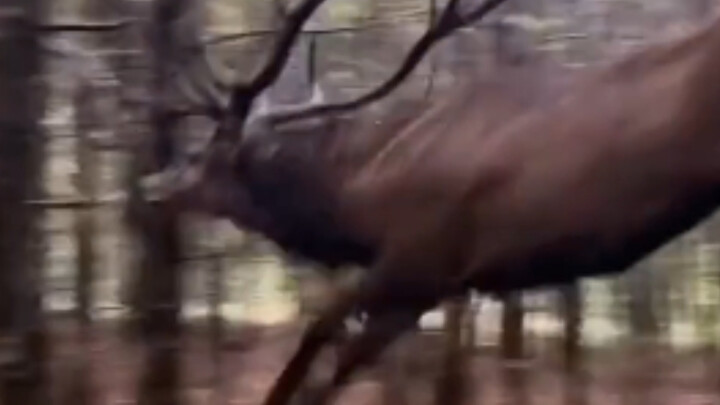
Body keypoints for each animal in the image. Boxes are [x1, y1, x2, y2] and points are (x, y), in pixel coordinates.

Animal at [139, 0, 720, 403]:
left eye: (203, 155)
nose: (149, 186)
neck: (359, 200)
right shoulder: (430, 289)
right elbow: (335, 371)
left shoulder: (418, 258)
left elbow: (317, 335)